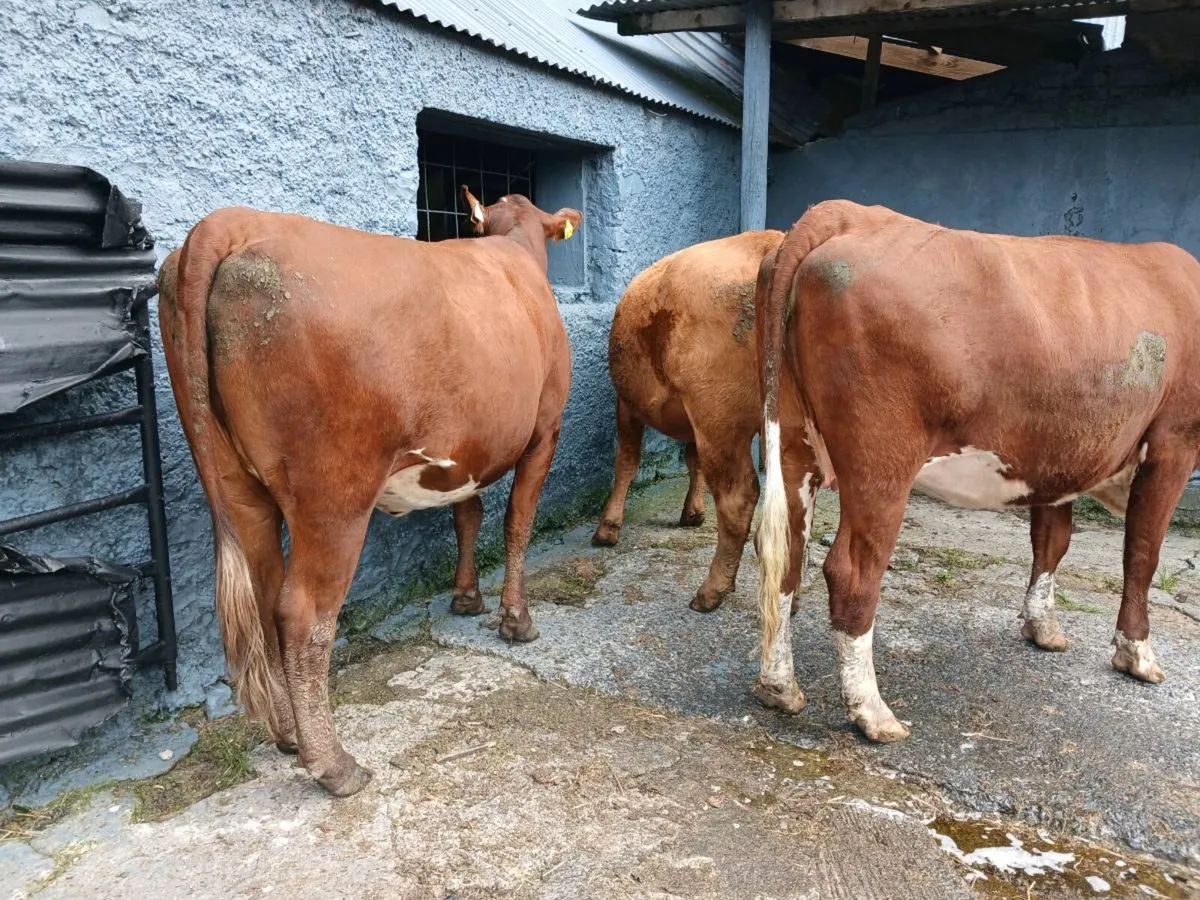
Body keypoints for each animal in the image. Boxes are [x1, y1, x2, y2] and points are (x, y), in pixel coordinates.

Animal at [158, 188, 580, 796]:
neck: (515, 252)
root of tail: (232, 222)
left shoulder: (465, 451)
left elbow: (467, 514)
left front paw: (466, 598)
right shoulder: (545, 430)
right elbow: (517, 523)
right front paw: (515, 620)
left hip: (238, 485)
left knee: (263, 600)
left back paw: (289, 736)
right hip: (335, 493)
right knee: (303, 615)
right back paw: (333, 764)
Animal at [592, 230, 820, 614]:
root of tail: (775, 243)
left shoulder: (628, 404)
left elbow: (626, 460)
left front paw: (607, 528)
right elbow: (691, 458)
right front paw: (693, 512)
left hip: (717, 415)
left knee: (738, 495)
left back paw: (711, 591)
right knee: (797, 502)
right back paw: (792, 595)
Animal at [753, 200, 1200, 744]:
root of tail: (847, 214)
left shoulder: (1059, 454)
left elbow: (1052, 540)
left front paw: (1041, 626)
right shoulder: (1175, 441)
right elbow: (1142, 554)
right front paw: (1136, 654)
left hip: (792, 442)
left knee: (782, 555)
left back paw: (779, 686)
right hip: (881, 461)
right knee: (851, 572)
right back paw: (872, 712)